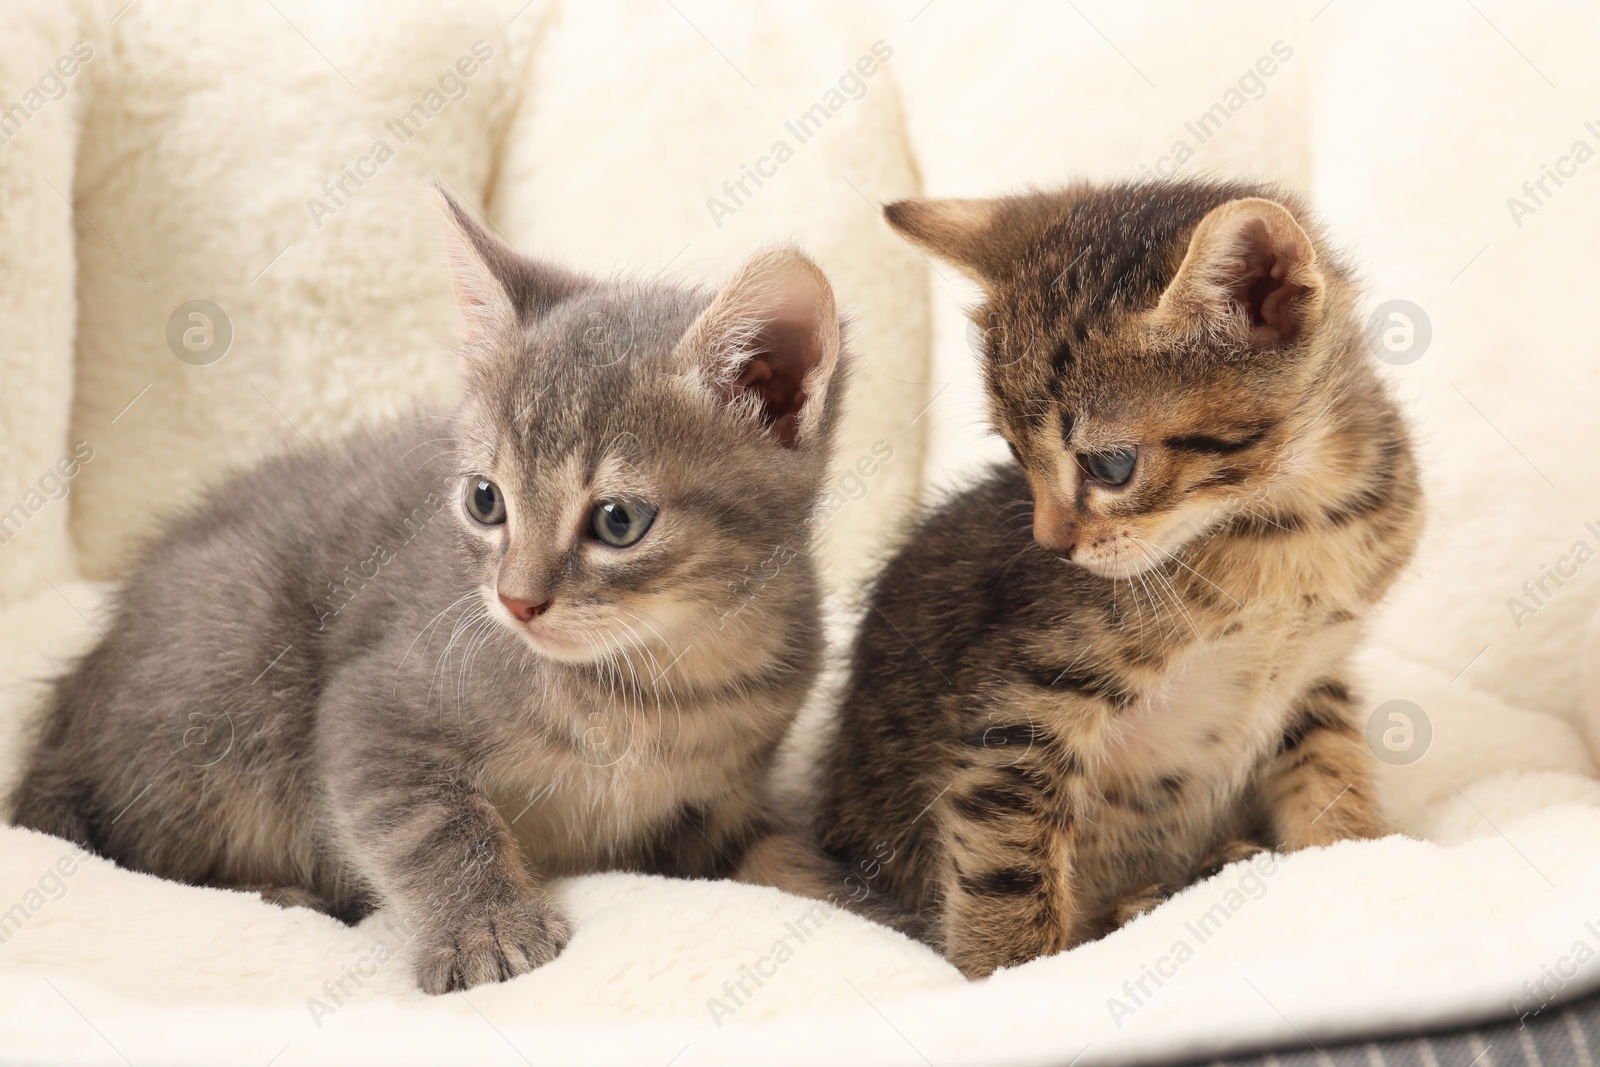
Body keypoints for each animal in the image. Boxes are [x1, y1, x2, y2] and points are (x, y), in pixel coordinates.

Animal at [9, 189, 851, 991]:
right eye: (486, 500)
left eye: (618, 520)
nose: (516, 600)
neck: (662, 682)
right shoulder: (373, 707)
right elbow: (435, 822)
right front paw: (487, 926)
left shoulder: (723, 798)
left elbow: (783, 854)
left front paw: (855, 904)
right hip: (229, 656)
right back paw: (283, 895)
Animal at [819, 181, 1420, 979]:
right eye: (1015, 452)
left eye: (1110, 466)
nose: (1049, 544)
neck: (1290, 521)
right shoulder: (1024, 694)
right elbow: (1005, 857)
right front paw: (1009, 972)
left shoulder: (1314, 671)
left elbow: (1331, 773)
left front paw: (1350, 857)